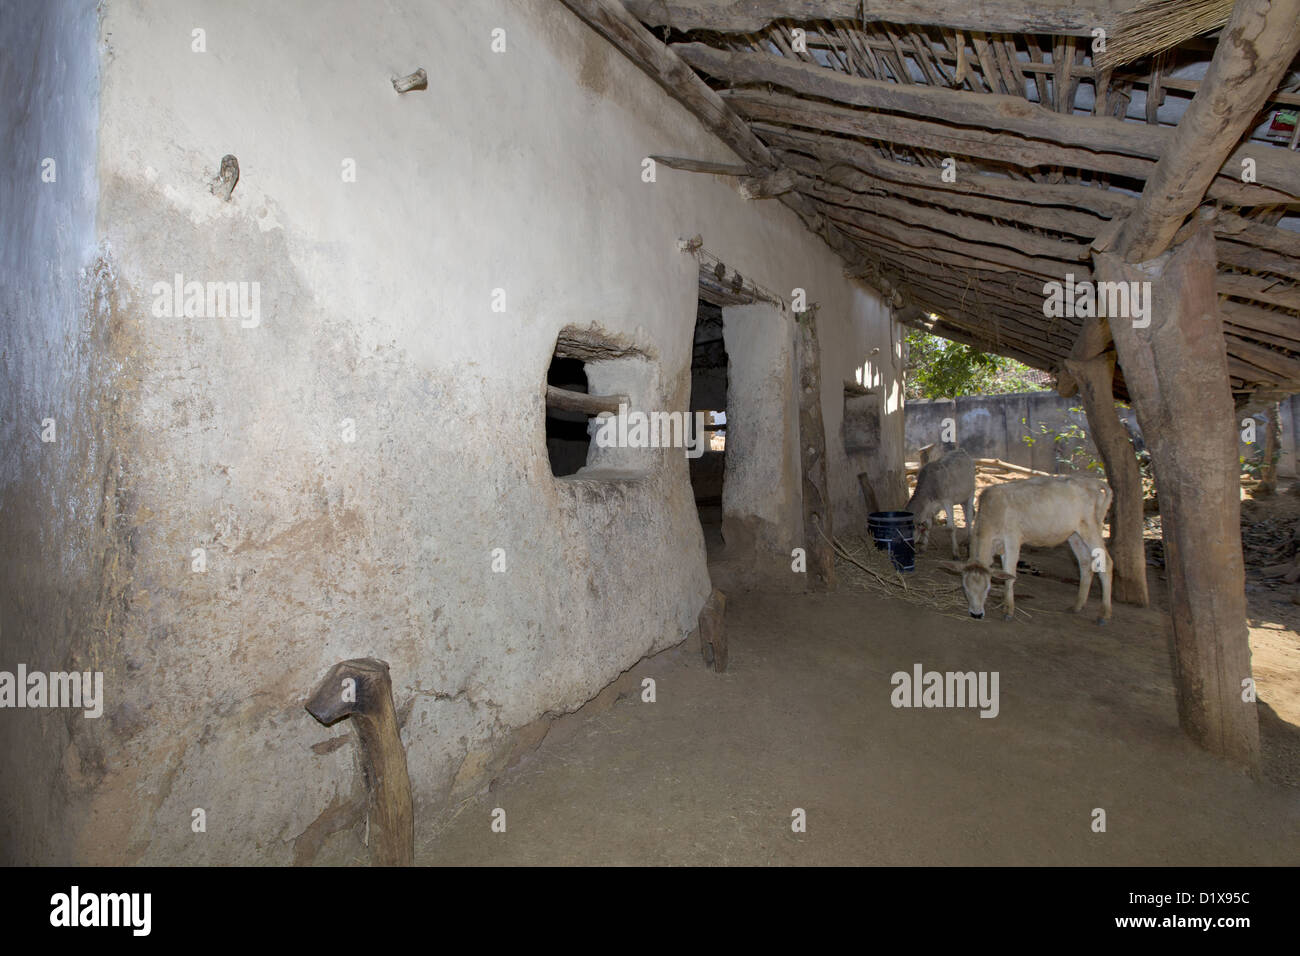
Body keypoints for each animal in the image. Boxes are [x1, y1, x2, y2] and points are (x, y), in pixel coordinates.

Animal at [941, 473, 1112, 624]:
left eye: (987, 588)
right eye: (965, 587)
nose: (976, 614)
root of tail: (1094, 482)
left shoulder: (1013, 539)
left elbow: (1010, 573)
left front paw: (1009, 611)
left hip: (1091, 527)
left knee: (1107, 563)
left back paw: (1104, 614)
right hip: (1074, 534)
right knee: (1085, 563)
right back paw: (1077, 606)